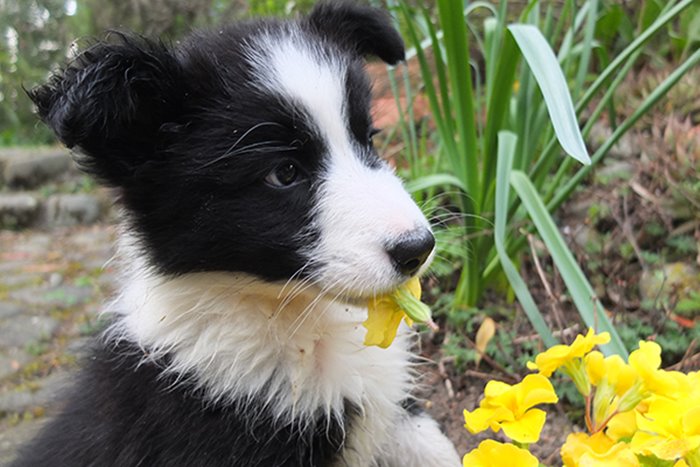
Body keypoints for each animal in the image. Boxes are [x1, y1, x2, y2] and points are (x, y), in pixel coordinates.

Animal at [15, 1, 460, 466]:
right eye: (284, 173)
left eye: (368, 139)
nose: (418, 248)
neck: (295, 318)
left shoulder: (393, 414)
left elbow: (434, 444)